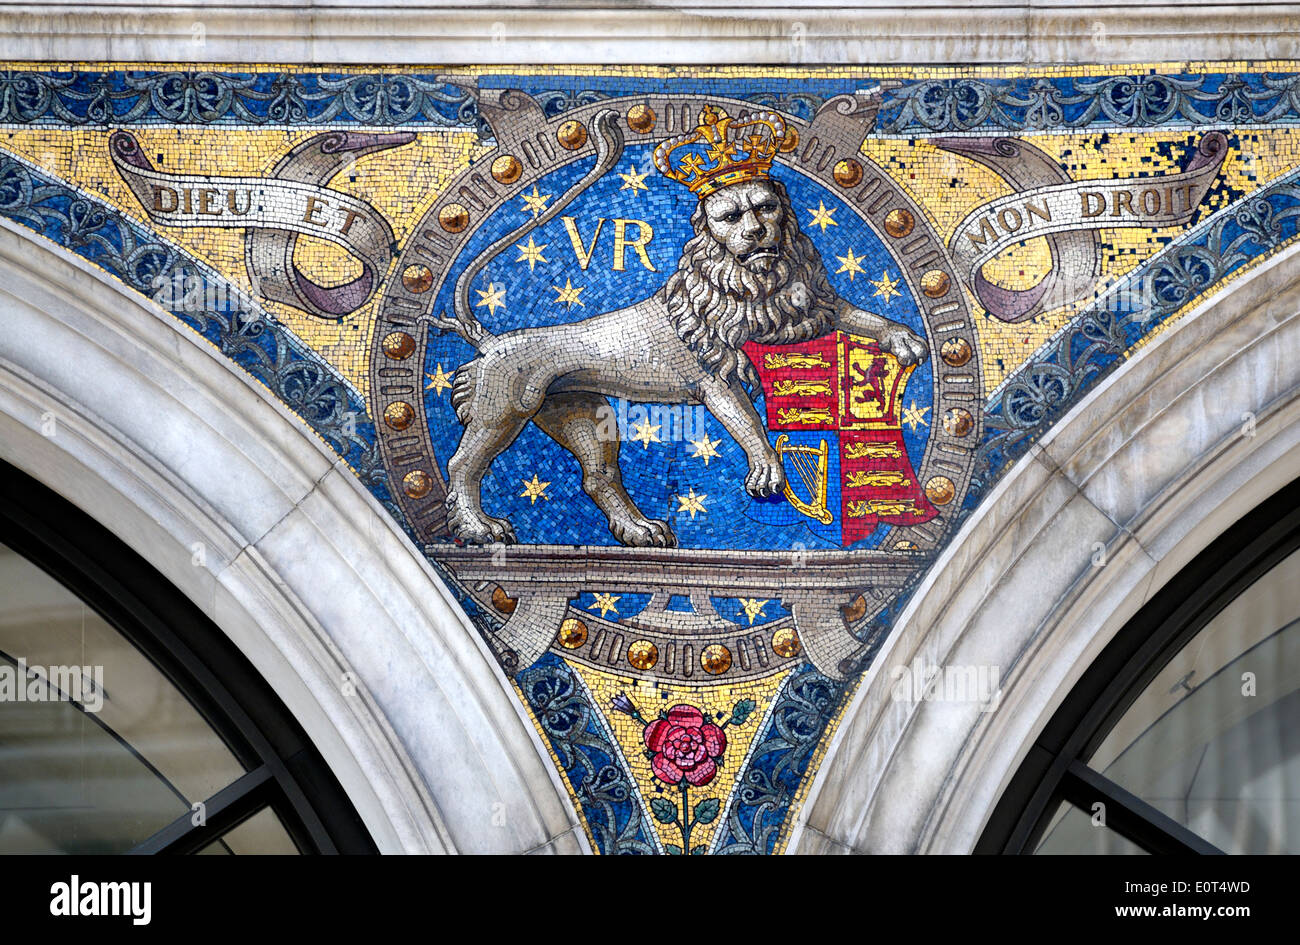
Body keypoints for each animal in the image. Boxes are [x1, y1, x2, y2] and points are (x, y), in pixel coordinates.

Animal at [436, 107, 925, 545]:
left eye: (765, 208)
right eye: (729, 217)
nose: (756, 235)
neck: (753, 281)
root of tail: (489, 341)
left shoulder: (798, 310)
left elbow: (852, 313)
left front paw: (903, 338)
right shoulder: (716, 373)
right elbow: (747, 422)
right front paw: (767, 468)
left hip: (580, 410)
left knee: (598, 476)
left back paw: (641, 530)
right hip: (502, 408)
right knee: (462, 464)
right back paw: (479, 528)